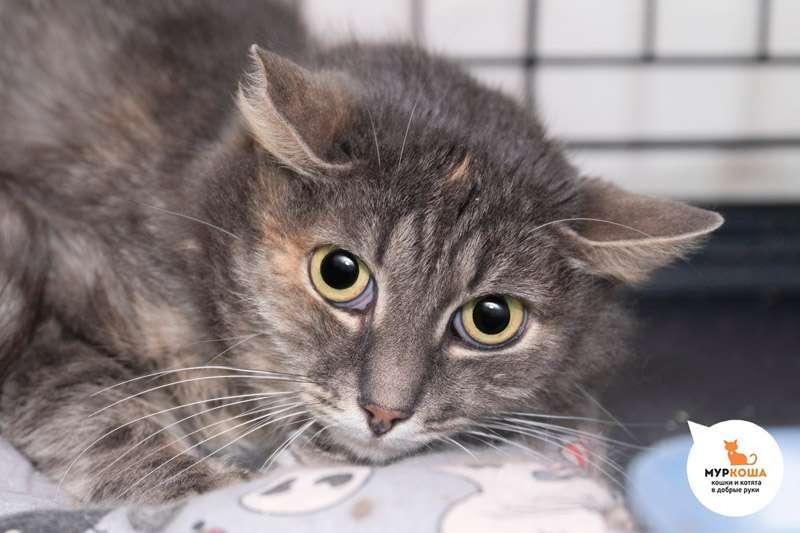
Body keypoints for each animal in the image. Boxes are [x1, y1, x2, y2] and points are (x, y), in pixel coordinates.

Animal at [0, 1, 723, 504]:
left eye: (492, 319)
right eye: (339, 273)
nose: (384, 412)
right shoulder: (33, 287)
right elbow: (105, 414)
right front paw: (201, 485)